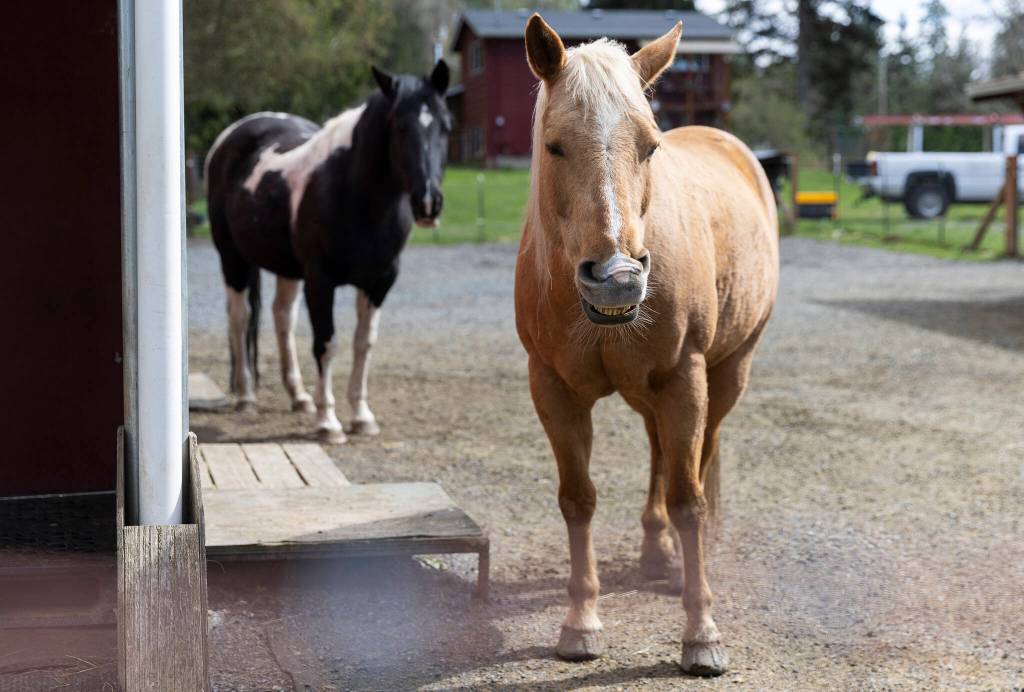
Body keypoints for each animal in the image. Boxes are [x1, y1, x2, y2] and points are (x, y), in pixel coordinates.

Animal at [205, 61, 451, 442]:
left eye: (445, 126)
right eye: (399, 126)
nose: (428, 203)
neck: (354, 195)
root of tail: (233, 134)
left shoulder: (379, 282)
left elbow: (363, 344)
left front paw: (362, 417)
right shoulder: (320, 281)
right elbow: (327, 342)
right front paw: (328, 422)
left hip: (288, 270)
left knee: (282, 318)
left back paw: (299, 396)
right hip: (233, 259)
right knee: (240, 316)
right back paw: (246, 396)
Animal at [514, 16, 778, 676]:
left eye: (650, 146)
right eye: (555, 145)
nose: (617, 276)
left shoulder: (684, 379)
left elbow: (689, 499)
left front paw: (702, 634)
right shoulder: (552, 389)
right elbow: (578, 498)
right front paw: (580, 622)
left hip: (724, 375)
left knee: (697, 457)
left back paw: (679, 563)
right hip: (648, 391)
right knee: (660, 452)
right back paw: (656, 552)